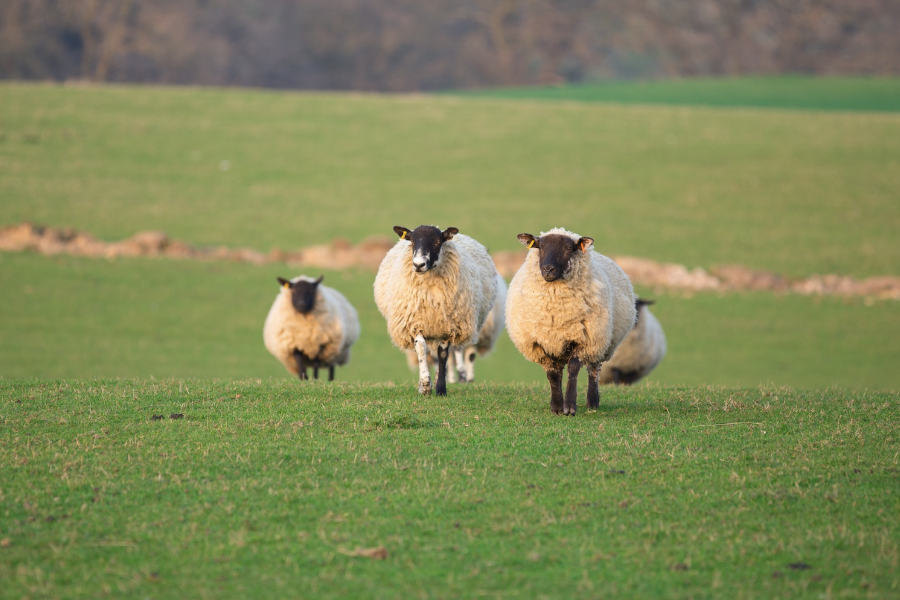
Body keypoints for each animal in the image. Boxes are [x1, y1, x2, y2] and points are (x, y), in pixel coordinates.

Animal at [374, 223, 500, 396]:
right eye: (412, 241)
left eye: (437, 241)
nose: (418, 265)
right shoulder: (416, 322)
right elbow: (421, 350)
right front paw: (426, 385)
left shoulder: (447, 326)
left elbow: (443, 355)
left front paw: (440, 388)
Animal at [506, 227, 640, 414]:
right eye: (540, 247)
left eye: (568, 248)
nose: (548, 270)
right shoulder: (539, 343)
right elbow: (552, 374)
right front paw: (556, 407)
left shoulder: (584, 339)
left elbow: (573, 369)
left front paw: (569, 407)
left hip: (600, 341)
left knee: (593, 370)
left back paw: (593, 402)